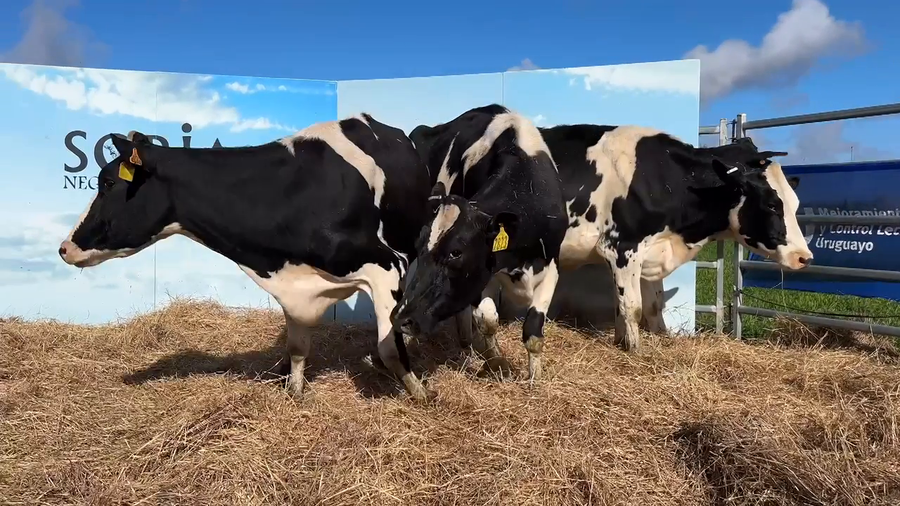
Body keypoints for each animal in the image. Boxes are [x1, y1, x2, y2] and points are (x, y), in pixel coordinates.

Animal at [57, 114, 438, 402]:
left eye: (108, 183)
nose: (64, 247)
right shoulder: (293, 285)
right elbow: (297, 346)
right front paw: (295, 394)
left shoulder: (385, 264)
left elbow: (389, 348)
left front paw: (421, 395)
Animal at [393, 104, 568, 383]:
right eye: (419, 246)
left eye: (456, 252)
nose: (401, 320)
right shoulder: (482, 276)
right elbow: (487, 319)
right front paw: (496, 361)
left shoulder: (552, 261)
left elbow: (533, 329)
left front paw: (534, 378)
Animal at [460, 124, 813, 356]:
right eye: (772, 204)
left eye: (795, 203)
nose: (804, 257)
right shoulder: (621, 246)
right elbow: (632, 306)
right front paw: (635, 350)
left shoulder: (651, 252)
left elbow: (651, 306)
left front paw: (654, 340)